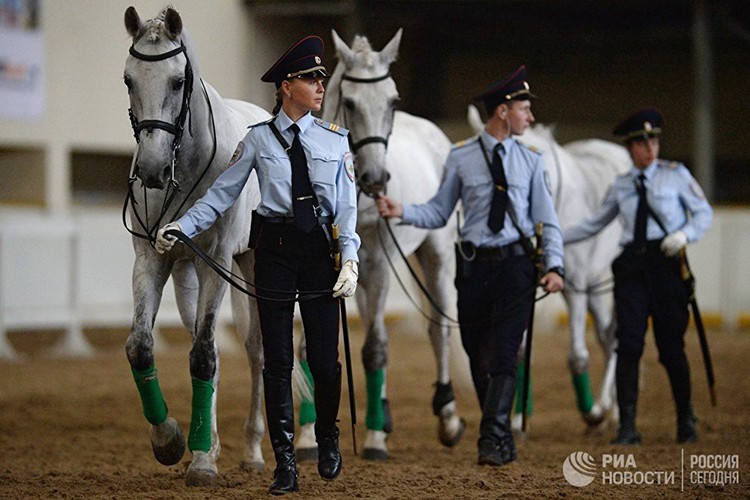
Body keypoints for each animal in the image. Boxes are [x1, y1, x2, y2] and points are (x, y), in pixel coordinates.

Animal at [125, 5, 272, 486]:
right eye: (129, 79)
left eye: (176, 81)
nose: (151, 170)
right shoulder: (152, 259)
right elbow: (141, 346)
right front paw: (171, 441)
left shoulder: (218, 263)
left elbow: (206, 355)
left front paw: (203, 463)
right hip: (186, 271)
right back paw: (208, 442)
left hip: (250, 266)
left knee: (257, 352)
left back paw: (252, 450)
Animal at [310, 30, 468, 460]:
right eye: (349, 102)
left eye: (393, 100)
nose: (376, 178)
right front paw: (308, 439)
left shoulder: (380, 264)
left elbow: (375, 349)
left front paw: (375, 440)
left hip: (437, 257)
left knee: (437, 329)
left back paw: (447, 417)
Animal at [472, 105, 632, 430]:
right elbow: (520, 352)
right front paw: (518, 418)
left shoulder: (573, 287)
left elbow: (577, 355)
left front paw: (591, 413)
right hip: (595, 285)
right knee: (606, 336)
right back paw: (612, 409)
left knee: (616, 337)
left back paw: (608, 411)